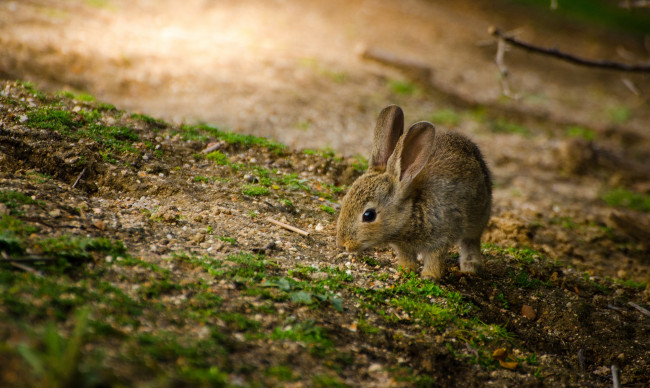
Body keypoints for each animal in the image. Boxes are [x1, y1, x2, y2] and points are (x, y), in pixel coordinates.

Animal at [336, 104, 488, 278]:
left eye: (369, 215)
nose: (342, 244)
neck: (410, 213)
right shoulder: (403, 247)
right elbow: (406, 257)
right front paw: (404, 270)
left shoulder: (441, 237)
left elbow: (435, 258)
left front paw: (429, 276)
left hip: (479, 217)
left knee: (471, 240)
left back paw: (470, 267)